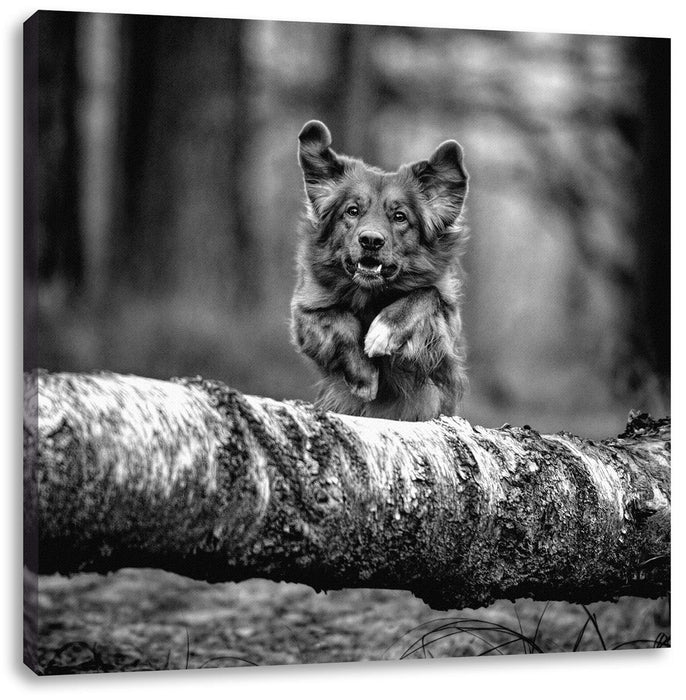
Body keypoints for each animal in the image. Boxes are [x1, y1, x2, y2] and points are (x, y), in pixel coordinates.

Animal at [288, 120, 470, 422]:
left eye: (400, 217)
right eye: (352, 211)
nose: (371, 240)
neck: (370, 292)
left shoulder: (443, 336)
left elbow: (425, 293)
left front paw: (384, 330)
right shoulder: (305, 312)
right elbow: (340, 320)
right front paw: (364, 377)